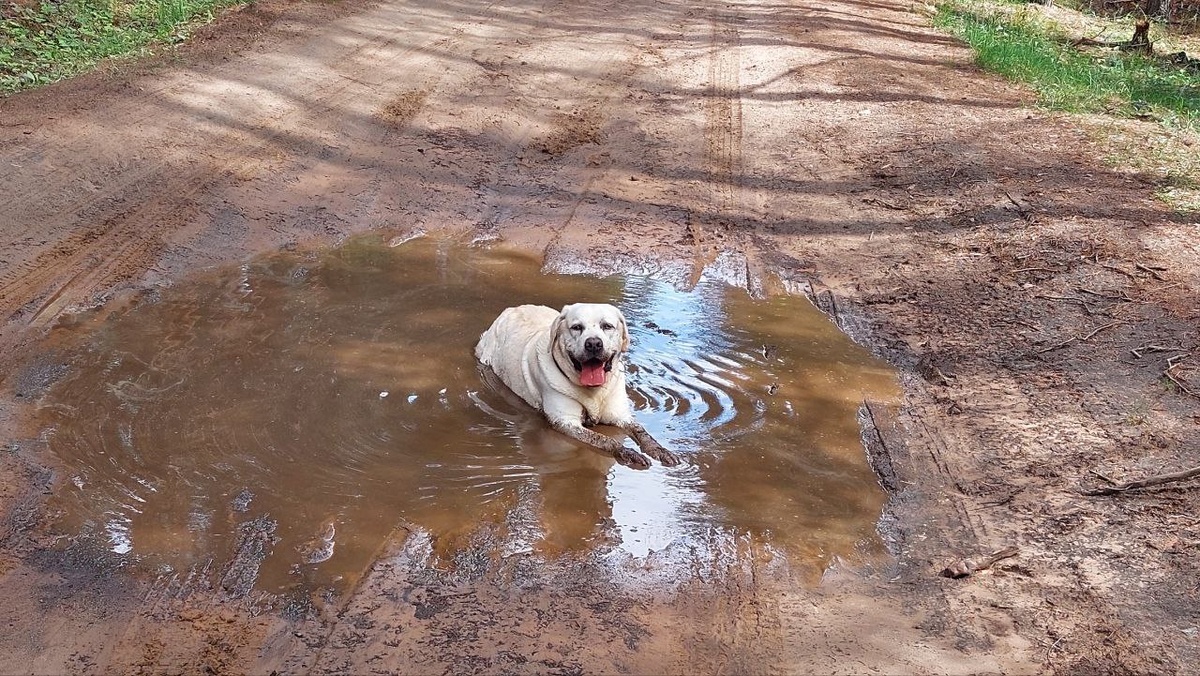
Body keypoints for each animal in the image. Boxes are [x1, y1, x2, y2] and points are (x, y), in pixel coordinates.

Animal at [472, 302, 681, 470]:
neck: (595, 392)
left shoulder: (621, 415)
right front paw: (628, 452)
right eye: (577, 327)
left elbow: (641, 431)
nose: (594, 343)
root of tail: (511, 309)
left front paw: (661, 450)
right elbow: (605, 439)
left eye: (607, 326)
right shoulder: (566, 422)